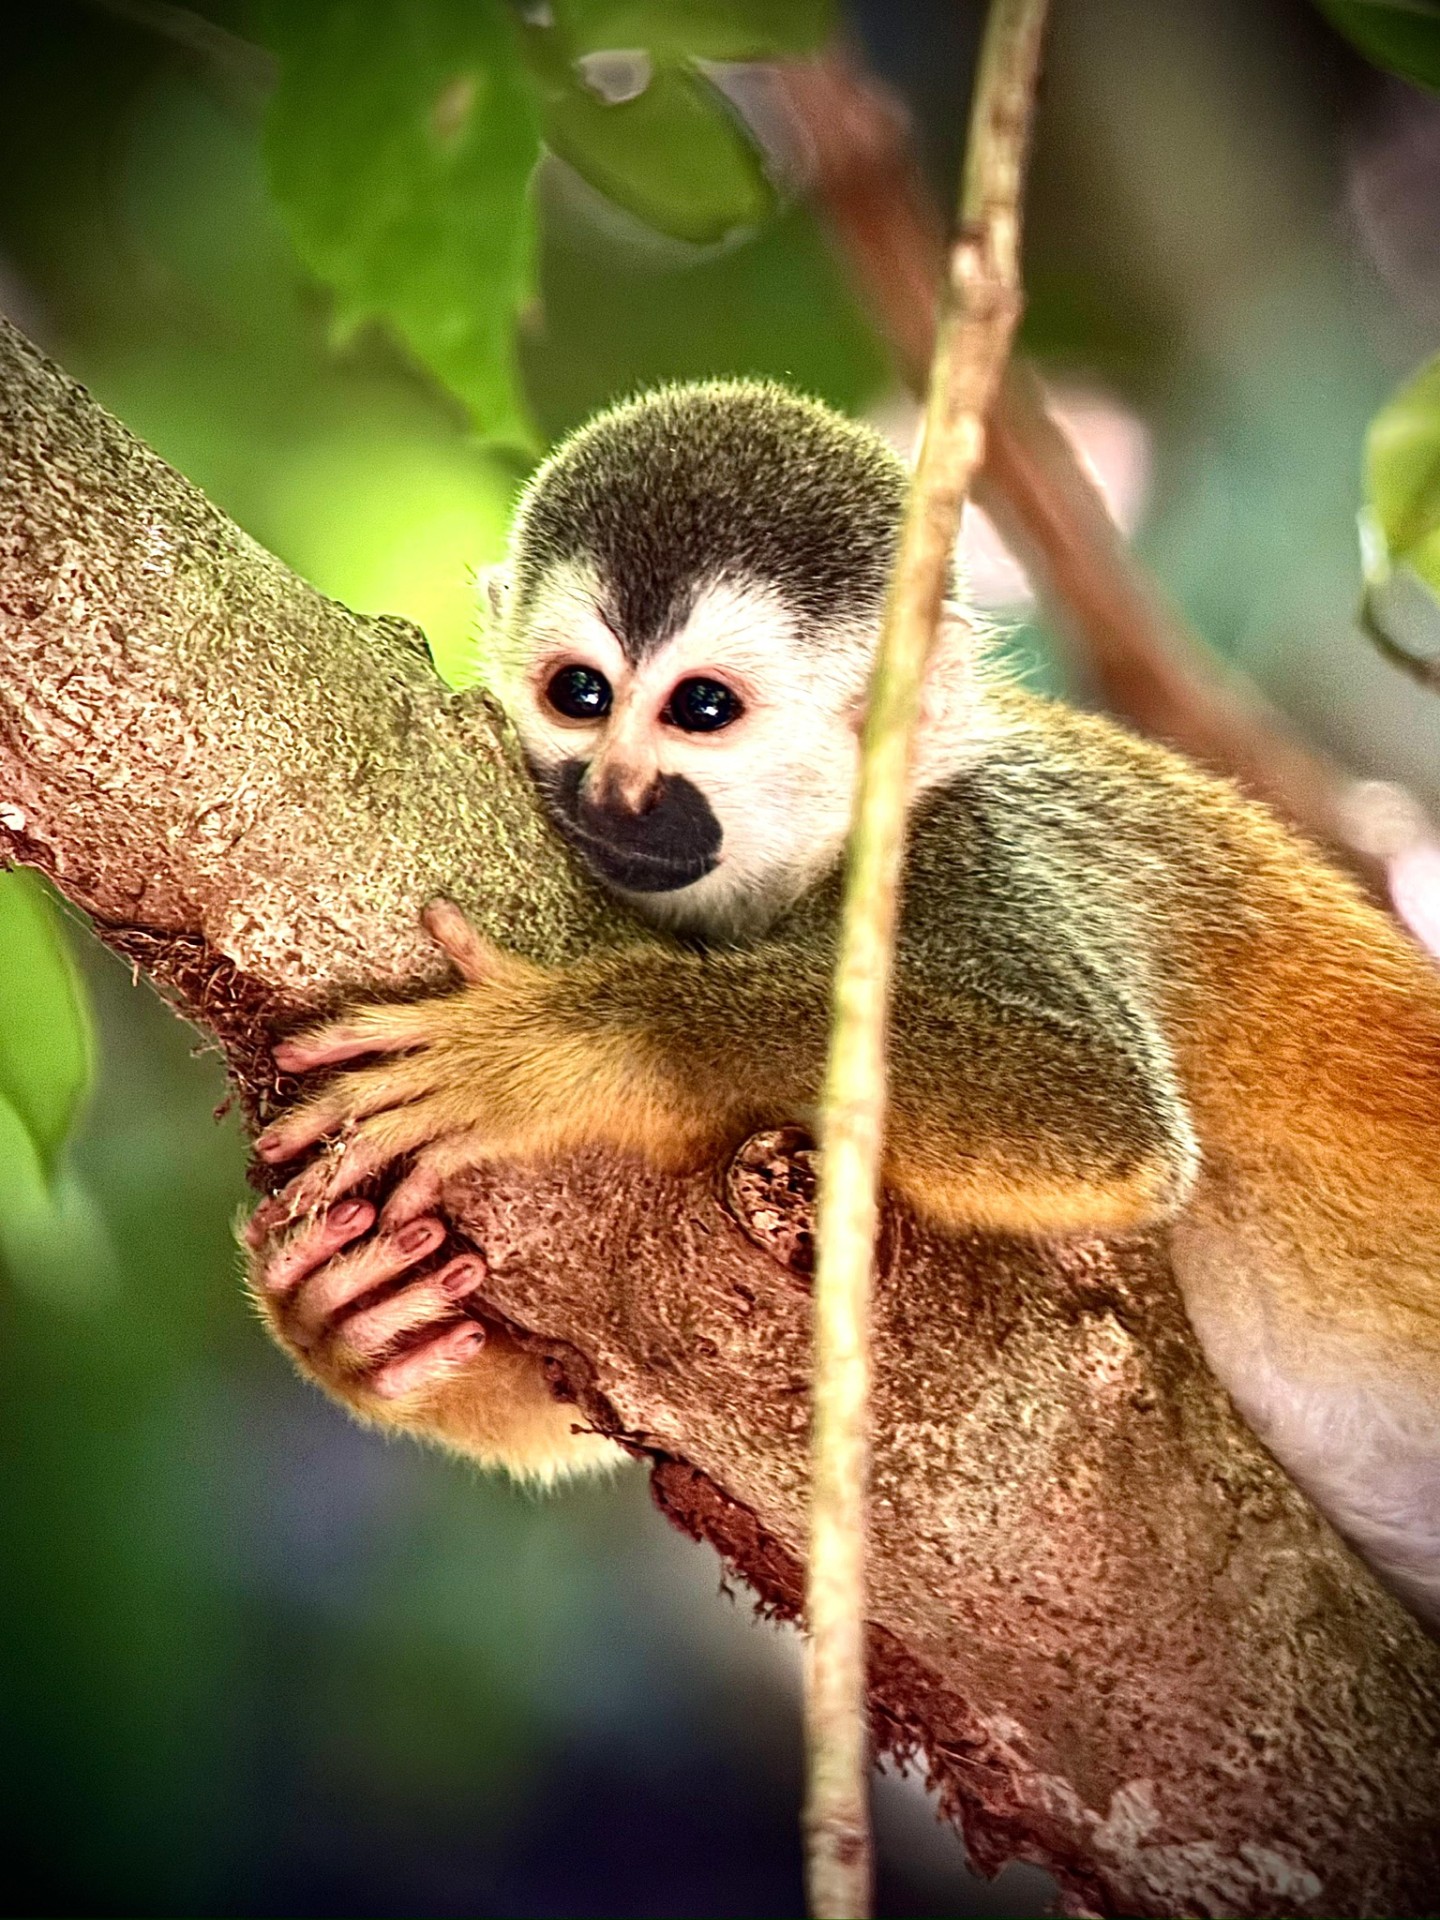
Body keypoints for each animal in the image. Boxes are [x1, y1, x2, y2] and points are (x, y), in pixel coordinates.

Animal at [248, 378, 1440, 1627]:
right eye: (579, 694)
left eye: (701, 708)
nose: (614, 789)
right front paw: (358, 1317)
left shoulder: (967, 856)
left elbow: (1104, 1111)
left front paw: (586, 1044)